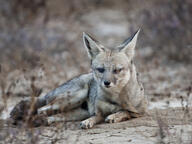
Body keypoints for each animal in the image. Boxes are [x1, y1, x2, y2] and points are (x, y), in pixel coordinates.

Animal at [10, 29, 148, 129]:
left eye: (117, 70)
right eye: (100, 69)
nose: (106, 83)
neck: (115, 99)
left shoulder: (140, 112)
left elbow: (126, 112)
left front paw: (115, 115)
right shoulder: (97, 112)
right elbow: (96, 117)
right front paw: (89, 122)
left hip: (75, 112)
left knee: (50, 115)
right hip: (73, 98)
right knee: (40, 110)